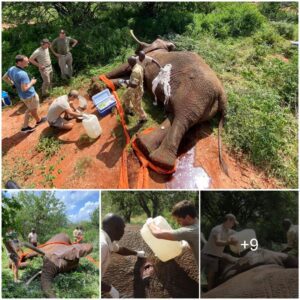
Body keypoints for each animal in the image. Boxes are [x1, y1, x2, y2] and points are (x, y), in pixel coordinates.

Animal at [91, 30, 227, 173]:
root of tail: (222, 93)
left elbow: (124, 68)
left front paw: (95, 83)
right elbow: (128, 78)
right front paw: (99, 86)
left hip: (196, 92)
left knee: (182, 117)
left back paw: (158, 159)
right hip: (205, 104)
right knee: (179, 116)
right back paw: (143, 145)